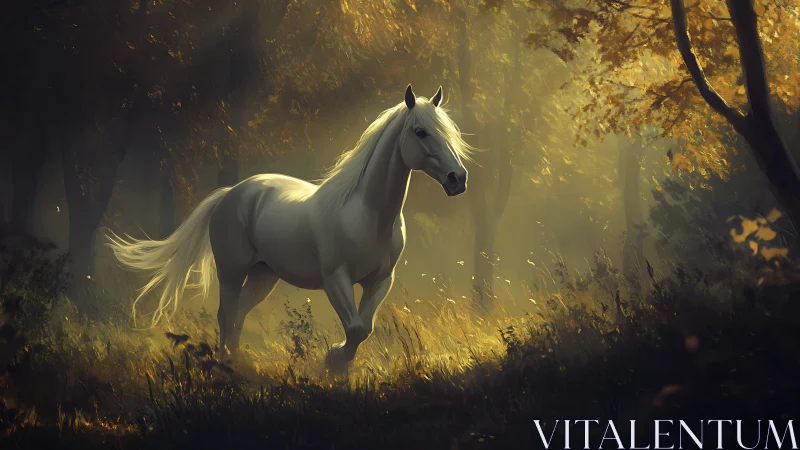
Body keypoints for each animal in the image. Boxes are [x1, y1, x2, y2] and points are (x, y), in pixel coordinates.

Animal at [106, 84, 472, 372]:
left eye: (450, 132)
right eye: (421, 131)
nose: (458, 179)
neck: (366, 214)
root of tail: (231, 193)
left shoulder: (381, 281)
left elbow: (364, 328)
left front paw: (340, 367)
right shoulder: (335, 278)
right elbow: (354, 328)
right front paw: (333, 361)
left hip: (264, 274)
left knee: (239, 313)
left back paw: (235, 363)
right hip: (231, 271)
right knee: (226, 314)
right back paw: (225, 366)